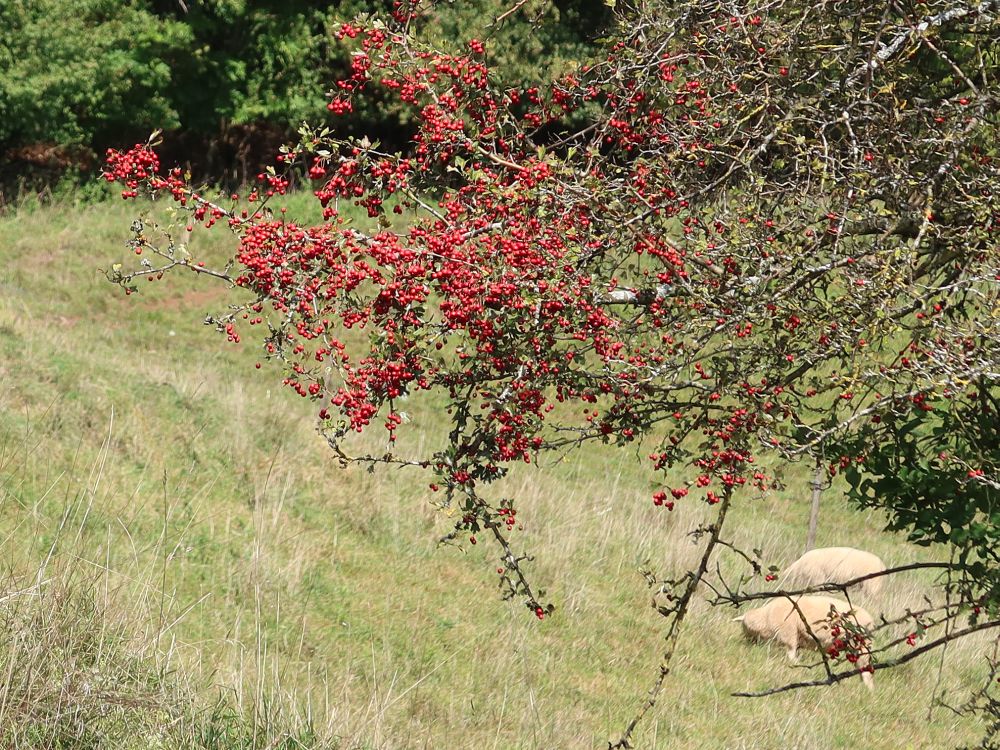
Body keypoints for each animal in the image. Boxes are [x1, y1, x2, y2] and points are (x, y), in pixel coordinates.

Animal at [736, 596, 876, 692]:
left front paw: (795, 664)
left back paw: (869, 689)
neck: (765, 617)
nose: (749, 643)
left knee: (865, 670)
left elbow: (791, 653)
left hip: (860, 645)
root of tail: (871, 621)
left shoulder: (789, 634)